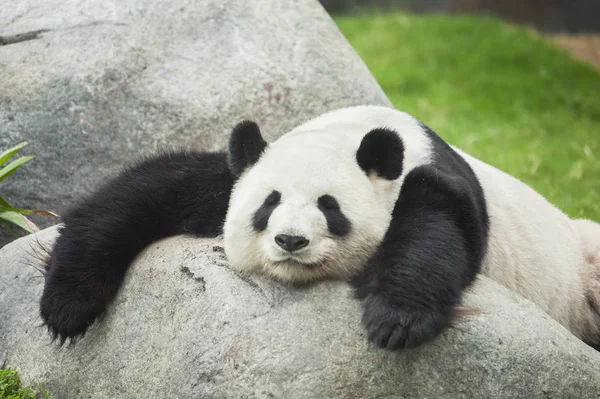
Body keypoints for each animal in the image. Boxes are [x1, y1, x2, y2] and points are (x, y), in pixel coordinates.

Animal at [39, 105, 600, 350]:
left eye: (330, 208)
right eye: (268, 205)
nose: (291, 241)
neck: (353, 133)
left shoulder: (438, 182)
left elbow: (437, 231)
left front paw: (394, 320)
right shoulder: (237, 172)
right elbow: (142, 194)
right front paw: (66, 307)